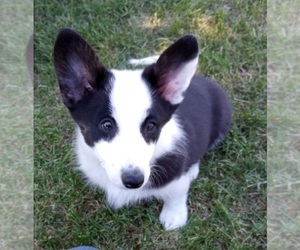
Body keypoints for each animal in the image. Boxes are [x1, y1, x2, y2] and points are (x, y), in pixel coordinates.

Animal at [54, 28, 232, 229]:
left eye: (151, 126)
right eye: (106, 124)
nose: (134, 181)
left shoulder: (175, 175)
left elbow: (176, 193)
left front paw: (174, 217)